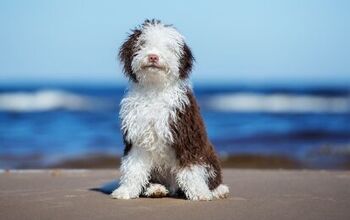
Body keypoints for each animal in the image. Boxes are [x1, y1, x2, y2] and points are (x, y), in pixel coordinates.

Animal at [110, 19, 228, 201]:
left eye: (168, 47)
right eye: (143, 44)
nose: (153, 56)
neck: (155, 89)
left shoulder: (186, 135)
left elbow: (191, 168)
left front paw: (199, 192)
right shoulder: (138, 138)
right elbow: (134, 167)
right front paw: (126, 190)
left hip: (209, 157)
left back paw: (218, 190)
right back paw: (155, 188)